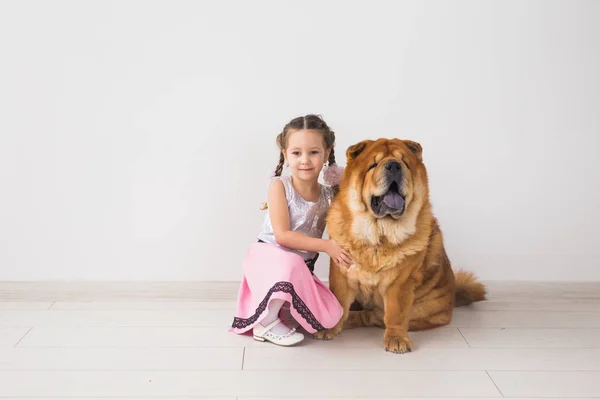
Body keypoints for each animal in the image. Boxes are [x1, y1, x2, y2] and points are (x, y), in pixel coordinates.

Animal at [314, 138, 488, 354]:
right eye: (373, 164)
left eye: (404, 162)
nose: (394, 165)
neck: (379, 235)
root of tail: (454, 295)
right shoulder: (342, 272)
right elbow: (338, 301)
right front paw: (327, 328)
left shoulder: (400, 282)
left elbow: (395, 314)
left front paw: (396, 340)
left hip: (421, 310)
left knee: (374, 317)